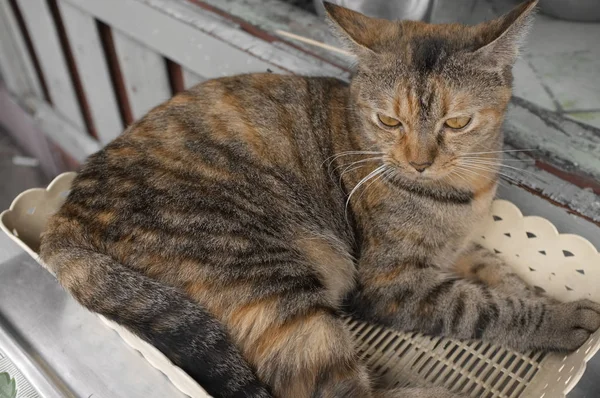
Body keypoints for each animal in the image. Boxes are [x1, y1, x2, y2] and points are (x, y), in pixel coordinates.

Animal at [38, 1, 600, 396]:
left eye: (457, 122)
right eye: (388, 120)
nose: (419, 161)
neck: (461, 191)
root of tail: (65, 214)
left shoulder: (458, 248)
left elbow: (499, 273)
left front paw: (538, 294)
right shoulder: (389, 284)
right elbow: (480, 306)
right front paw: (560, 319)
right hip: (276, 282)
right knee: (330, 390)